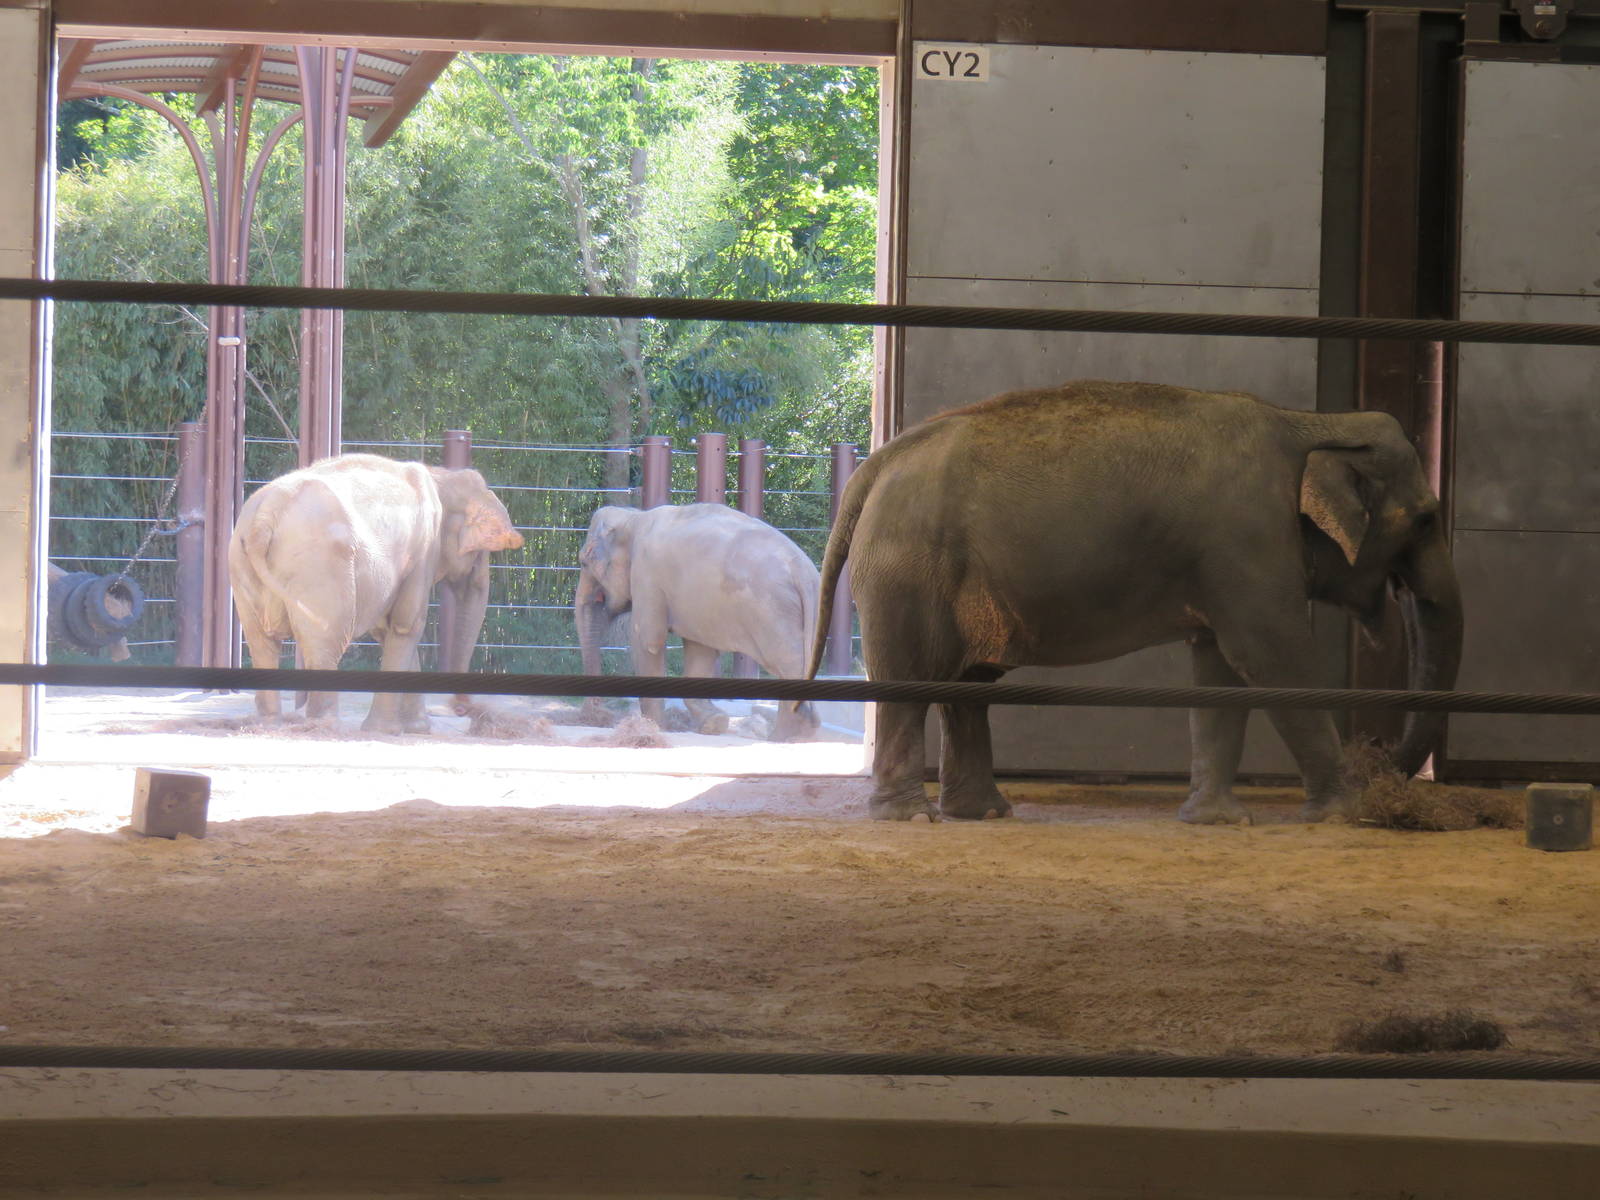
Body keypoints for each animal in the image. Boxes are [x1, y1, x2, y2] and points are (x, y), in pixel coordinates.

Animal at [228, 453, 524, 733]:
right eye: (478, 552)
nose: (462, 710)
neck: (442, 477)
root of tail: (264, 517)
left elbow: (388, 629)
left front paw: (417, 729)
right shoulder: (424, 551)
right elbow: (407, 625)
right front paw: (387, 730)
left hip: (242, 567)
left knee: (262, 644)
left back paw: (269, 724)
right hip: (319, 567)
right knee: (325, 642)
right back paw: (326, 726)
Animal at [575, 503, 822, 741]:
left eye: (585, 561)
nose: (596, 714)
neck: (633, 518)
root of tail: (804, 572)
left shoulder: (647, 575)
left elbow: (649, 641)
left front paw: (653, 727)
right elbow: (700, 651)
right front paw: (714, 724)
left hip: (772, 613)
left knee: (787, 662)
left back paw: (787, 736)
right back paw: (802, 733)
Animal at [807, 380, 1464, 823]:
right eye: (1426, 519)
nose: (1382, 763)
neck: (1309, 421)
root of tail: (876, 465)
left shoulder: (1228, 559)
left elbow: (1221, 668)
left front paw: (1216, 822)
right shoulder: (1247, 537)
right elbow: (1272, 656)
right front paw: (1346, 812)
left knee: (968, 687)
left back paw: (985, 812)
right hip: (908, 574)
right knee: (911, 680)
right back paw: (910, 816)